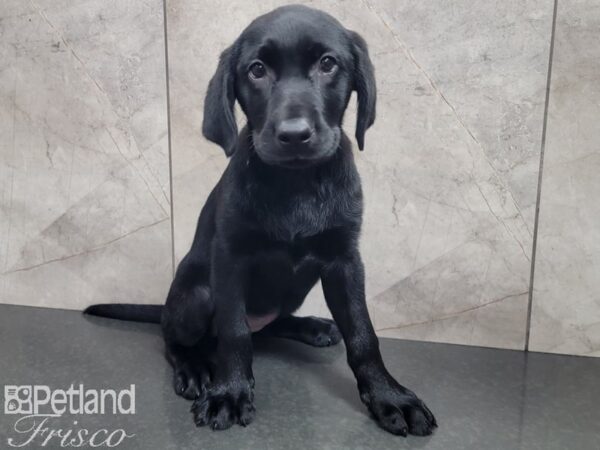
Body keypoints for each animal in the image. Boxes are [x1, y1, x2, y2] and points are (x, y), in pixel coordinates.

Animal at [85, 5, 436, 438]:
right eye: (256, 70)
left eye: (327, 64)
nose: (294, 134)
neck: (296, 183)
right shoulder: (231, 258)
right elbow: (235, 333)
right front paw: (230, 393)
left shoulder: (345, 260)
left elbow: (363, 334)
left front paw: (390, 396)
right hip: (196, 295)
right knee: (177, 337)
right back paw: (194, 367)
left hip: (295, 290)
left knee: (272, 324)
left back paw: (312, 327)